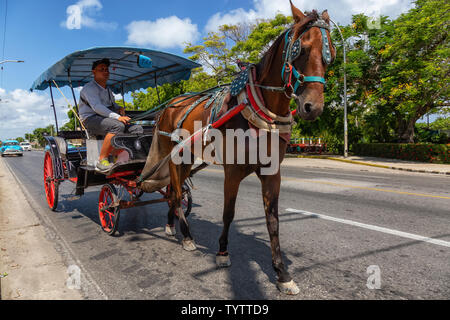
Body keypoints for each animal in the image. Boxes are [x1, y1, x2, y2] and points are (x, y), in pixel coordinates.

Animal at [139, 1, 336, 296]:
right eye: (300, 48)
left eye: (330, 54)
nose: (313, 107)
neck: (257, 107)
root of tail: (169, 105)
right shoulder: (232, 171)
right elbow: (228, 213)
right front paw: (222, 252)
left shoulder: (272, 172)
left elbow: (273, 220)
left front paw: (282, 273)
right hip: (174, 156)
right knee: (175, 194)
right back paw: (186, 235)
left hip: (188, 158)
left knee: (175, 193)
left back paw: (172, 225)